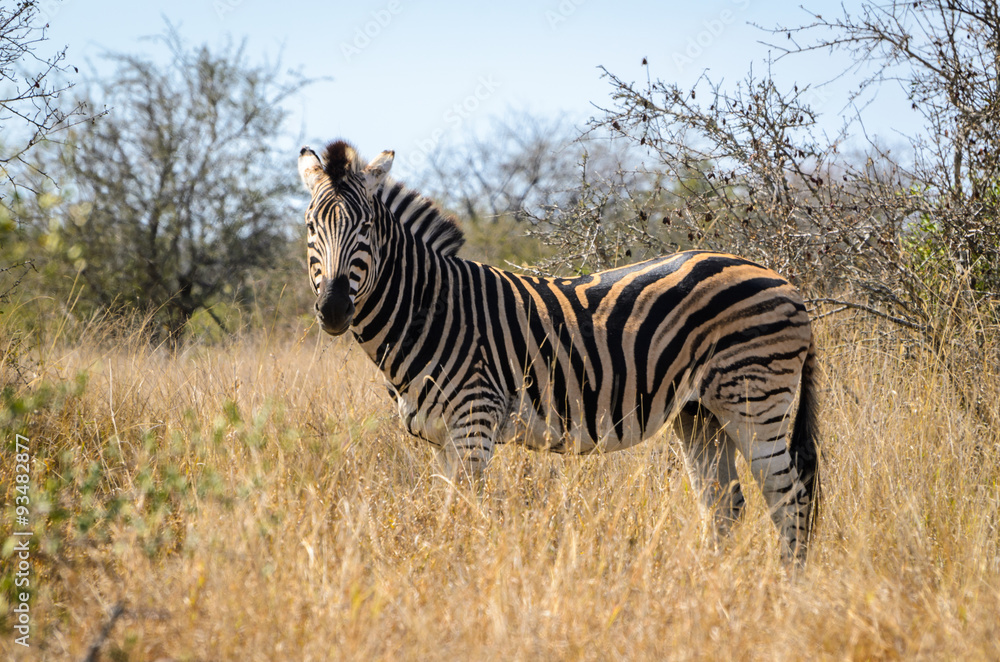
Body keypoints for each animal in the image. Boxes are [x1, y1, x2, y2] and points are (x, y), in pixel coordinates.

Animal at [298, 140, 820, 563]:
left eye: (366, 227)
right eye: (309, 227)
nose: (334, 309)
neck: (431, 308)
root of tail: (785, 283)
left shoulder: (473, 423)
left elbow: (461, 516)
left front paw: (457, 578)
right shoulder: (442, 438)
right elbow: (445, 512)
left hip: (754, 399)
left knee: (788, 496)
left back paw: (784, 588)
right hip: (701, 412)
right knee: (725, 503)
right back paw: (707, 584)